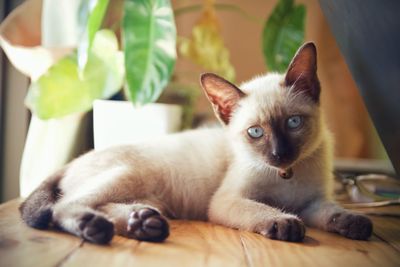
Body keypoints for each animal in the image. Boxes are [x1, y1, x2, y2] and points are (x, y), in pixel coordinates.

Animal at [20, 42, 374, 245]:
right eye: (255, 132)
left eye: (293, 123)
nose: (279, 154)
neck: (287, 175)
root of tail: (72, 161)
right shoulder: (227, 200)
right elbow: (261, 209)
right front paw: (285, 224)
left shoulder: (313, 202)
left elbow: (332, 212)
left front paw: (356, 224)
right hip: (127, 174)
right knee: (62, 206)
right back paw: (96, 227)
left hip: (146, 194)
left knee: (104, 205)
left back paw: (143, 224)